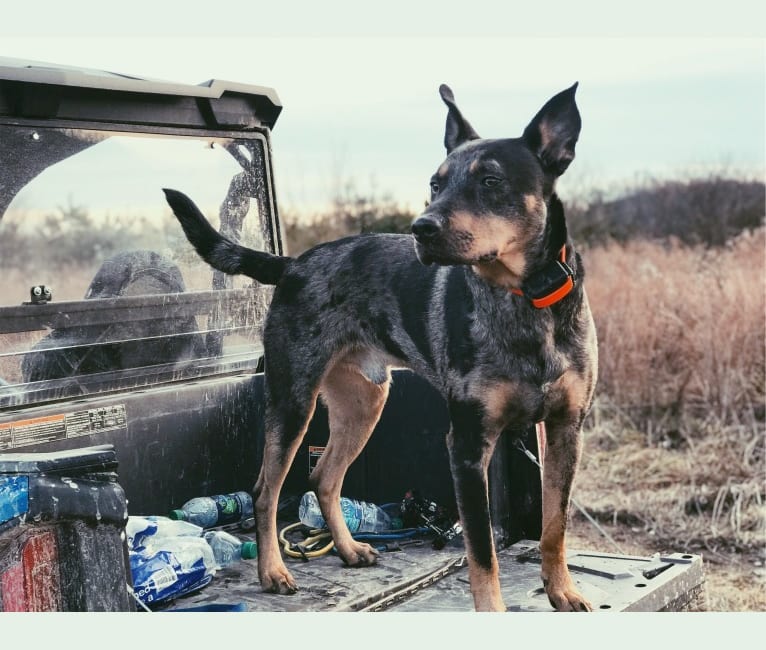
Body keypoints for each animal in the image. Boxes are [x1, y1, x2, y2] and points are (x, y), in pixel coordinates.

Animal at [164, 83, 600, 612]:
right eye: (435, 184)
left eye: (491, 181)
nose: (422, 228)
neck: (525, 300)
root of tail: (292, 265)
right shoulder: (467, 445)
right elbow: (483, 553)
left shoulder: (565, 431)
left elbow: (555, 527)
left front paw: (563, 592)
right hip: (292, 403)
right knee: (267, 491)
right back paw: (273, 571)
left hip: (364, 403)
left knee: (324, 478)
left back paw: (349, 548)